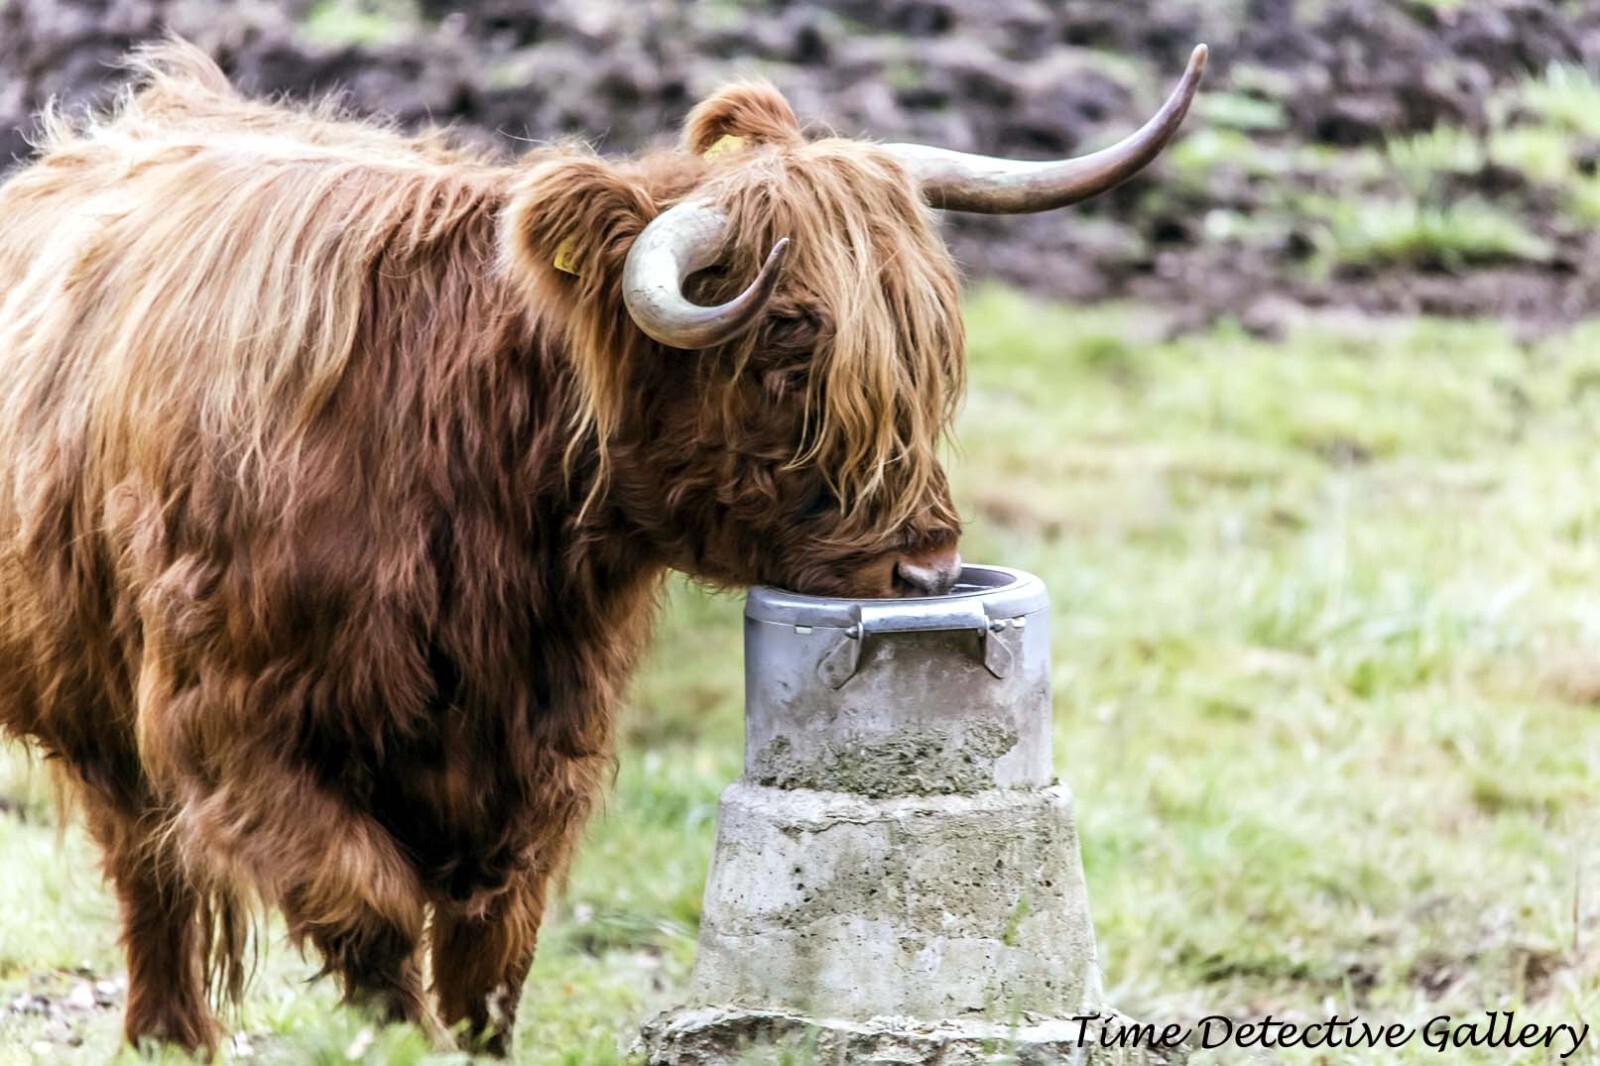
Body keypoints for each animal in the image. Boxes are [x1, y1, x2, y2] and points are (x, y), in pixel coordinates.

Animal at [0, 39, 1204, 1056]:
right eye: (785, 348)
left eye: (928, 352)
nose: (924, 574)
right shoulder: (228, 725)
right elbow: (366, 899)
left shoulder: (541, 739)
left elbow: (496, 943)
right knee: (151, 869)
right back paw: (168, 1036)